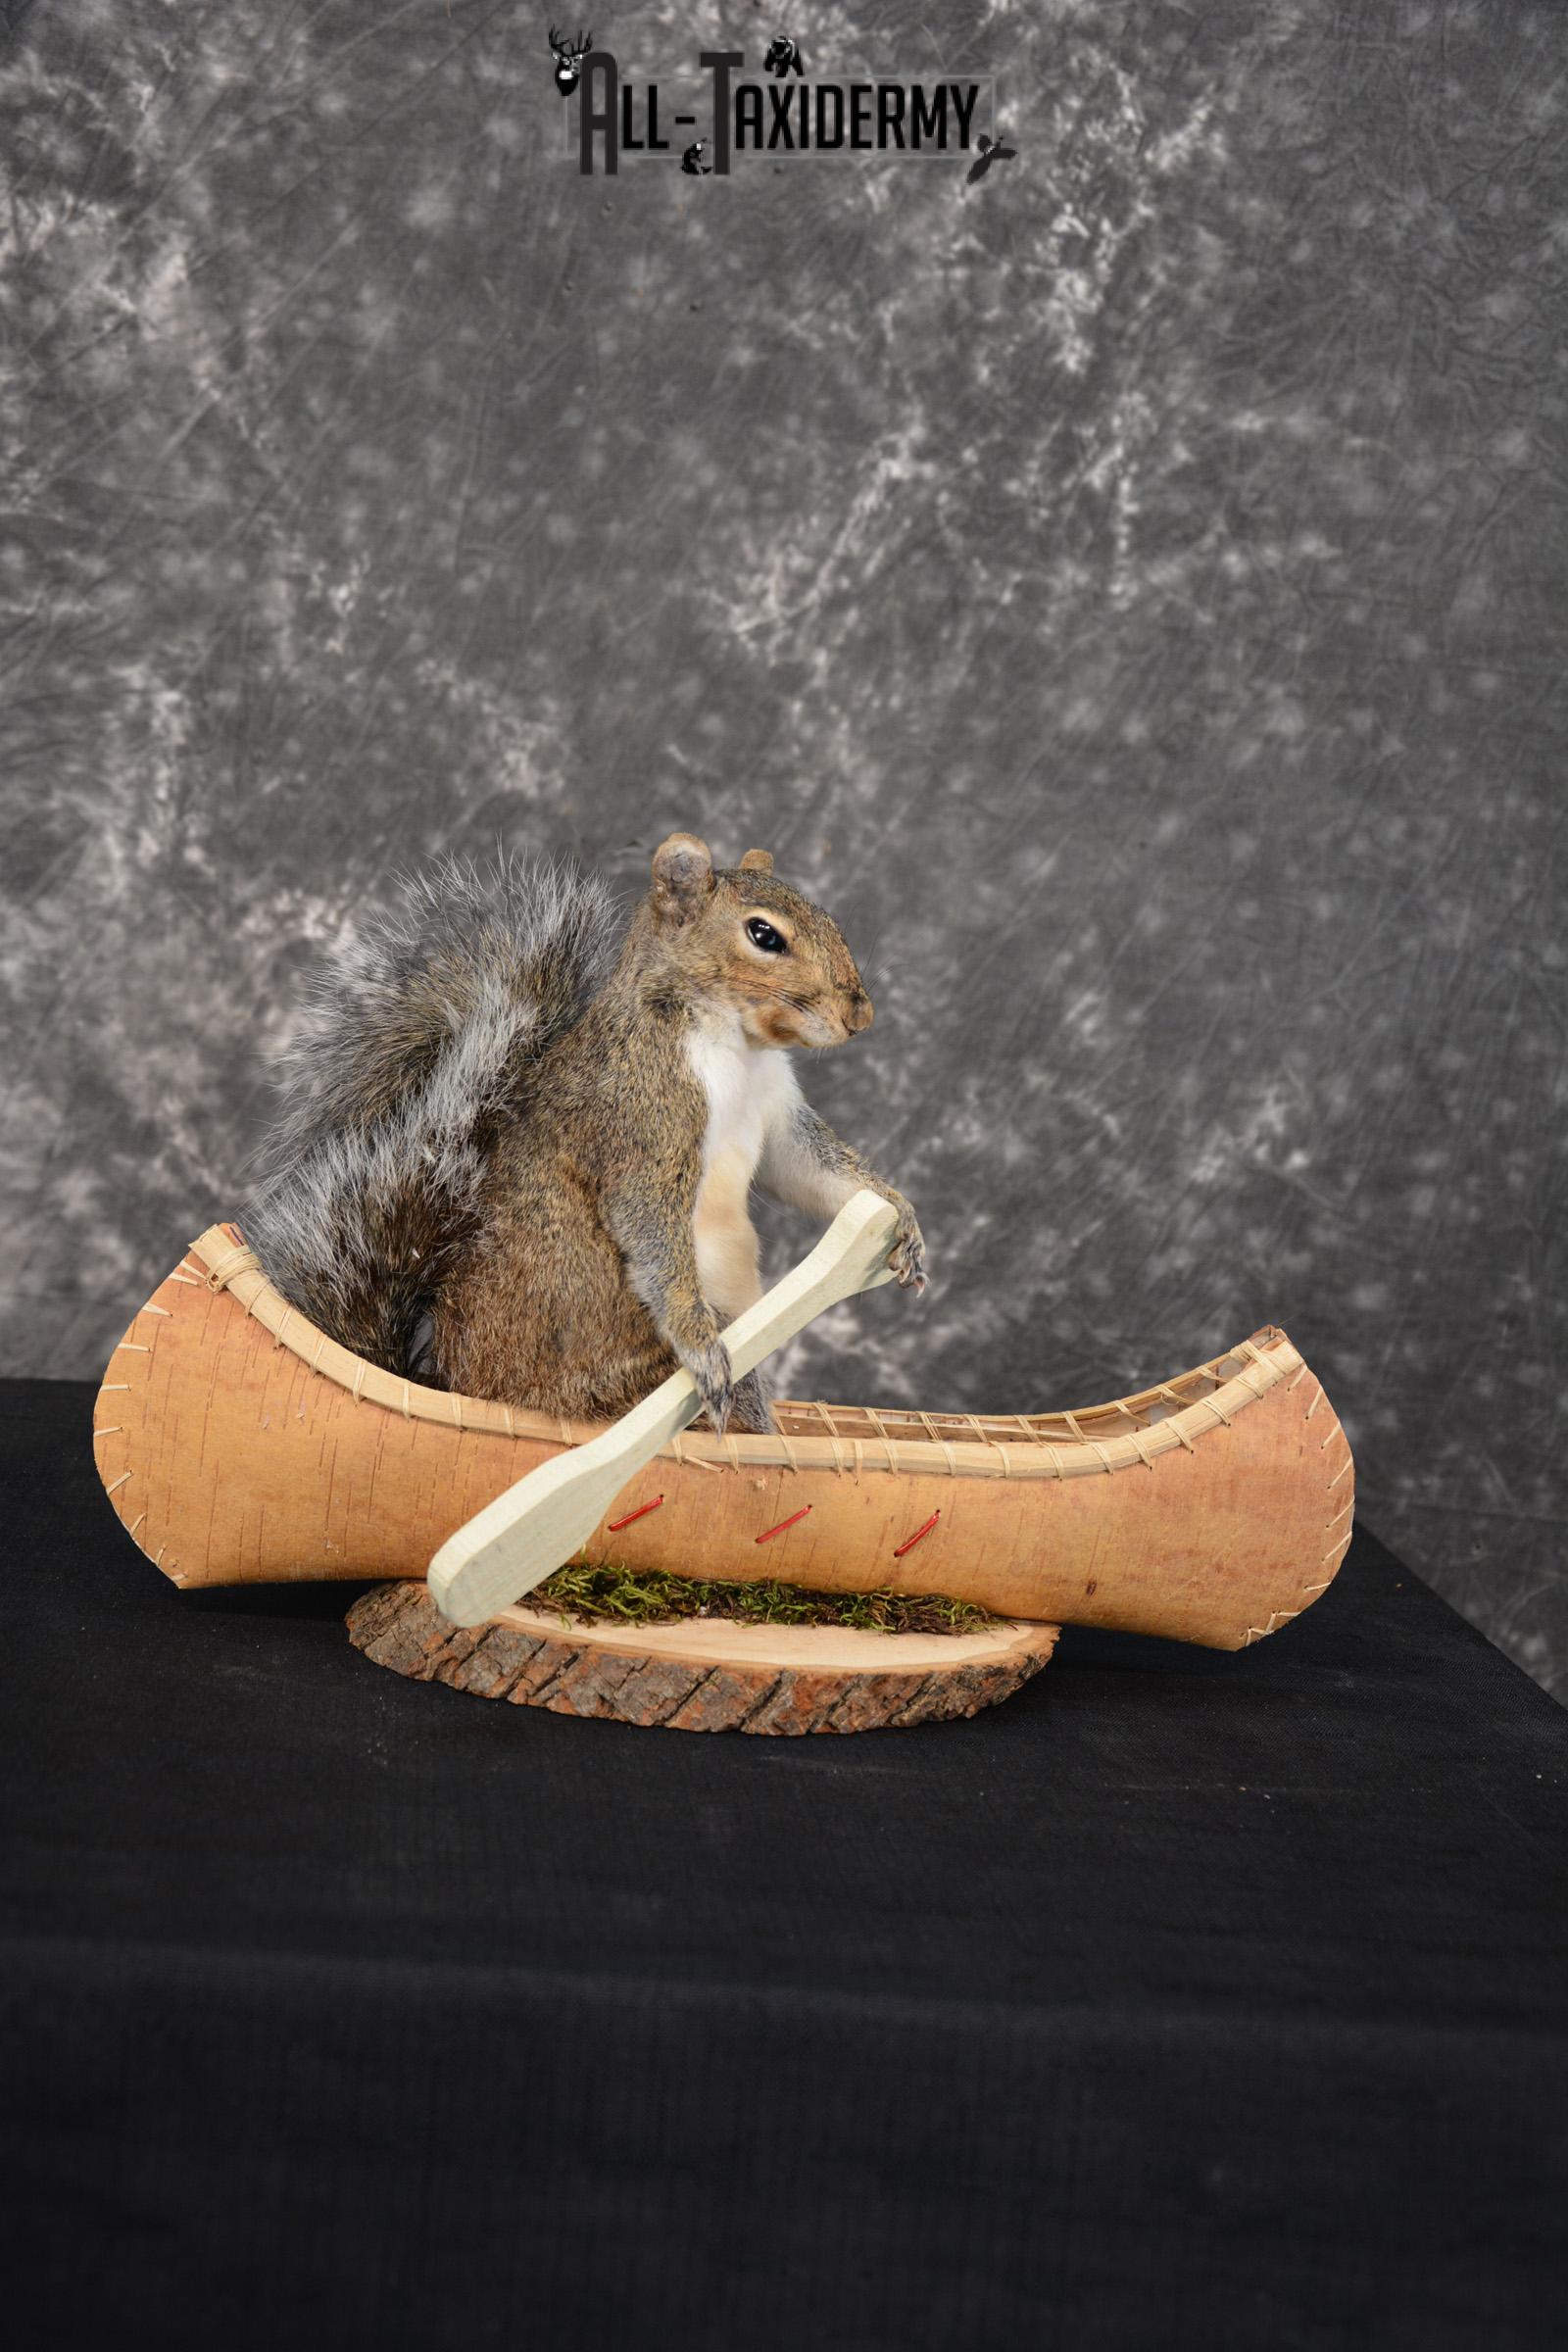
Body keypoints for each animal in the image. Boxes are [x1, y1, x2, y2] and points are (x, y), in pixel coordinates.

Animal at [243, 832, 925, 1435]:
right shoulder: (643, 1118)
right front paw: (700, 1348)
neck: (735, 1045)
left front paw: (901, 1219)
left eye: (825, 914)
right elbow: (649, 1221)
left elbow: (812, 1169)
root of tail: (463, 1387)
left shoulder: (777, 1115)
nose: (861, 1015)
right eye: (764, 935)